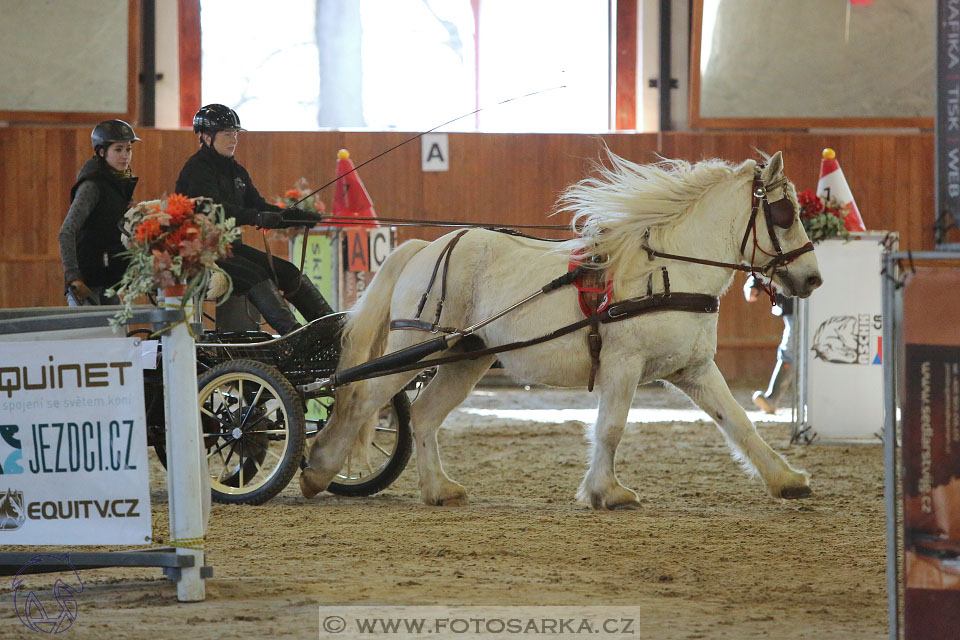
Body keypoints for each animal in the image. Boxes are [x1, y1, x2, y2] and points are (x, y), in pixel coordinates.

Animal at [302, 151, 824, 510]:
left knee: (425, 416)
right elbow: (611, 427)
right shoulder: (623, 364)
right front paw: (607, 492)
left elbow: (739, 424)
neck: (669, 271)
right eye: (784, 213)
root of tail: (429, 246)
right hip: (417, 347)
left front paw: (785, 480)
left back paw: (438, 489)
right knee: (360, 397)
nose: (813, 279)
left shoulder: (693, 369)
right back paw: (317, 469)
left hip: (466, 358)